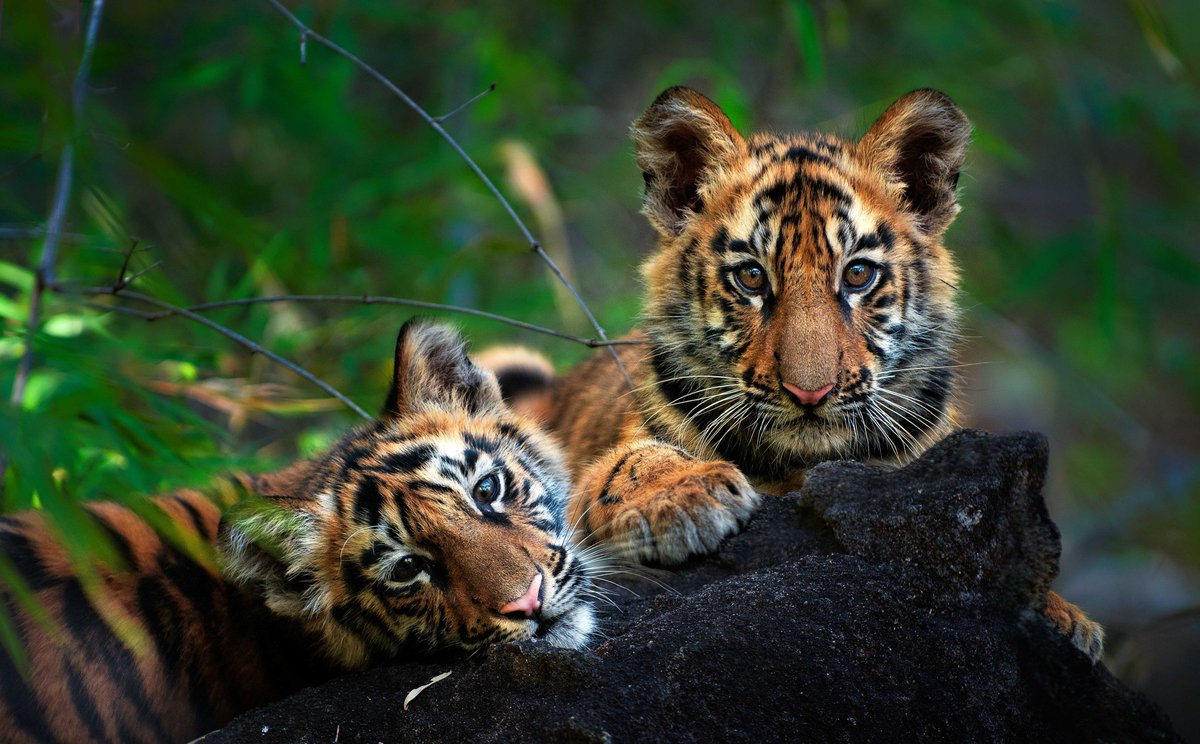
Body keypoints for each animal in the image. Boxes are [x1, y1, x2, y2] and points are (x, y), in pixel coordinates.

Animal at [483, 86, 1104, 661]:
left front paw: (1066, 617)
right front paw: (684, 498)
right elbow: (632, 461)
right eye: (752, 278)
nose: (811, 391)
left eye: (857, 275)